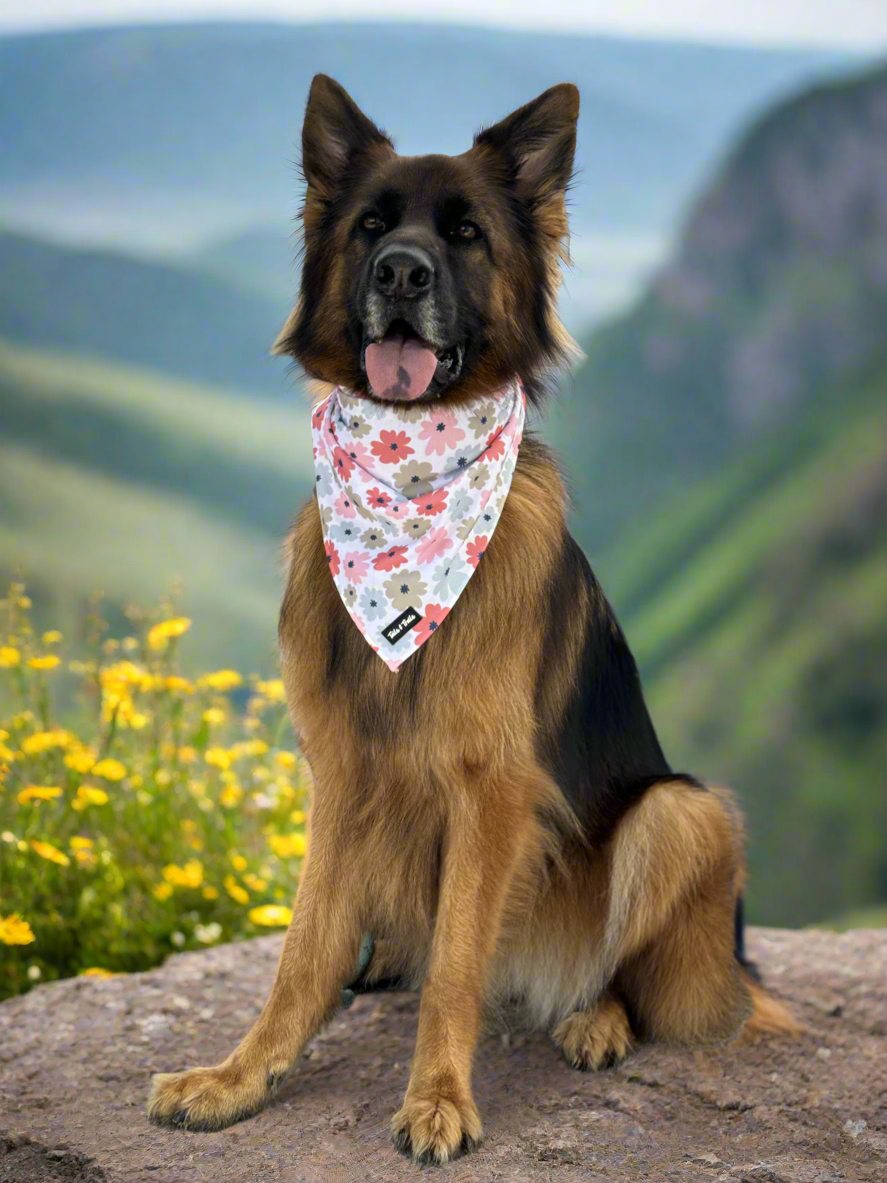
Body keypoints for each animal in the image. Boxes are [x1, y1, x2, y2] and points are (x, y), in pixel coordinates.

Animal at [147, 73, 799, 1164]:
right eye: (371, 226)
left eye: (463, 234)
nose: (400, 272)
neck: (408, 485)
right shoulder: (342, 773)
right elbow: (301, 950)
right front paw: (243, 1075)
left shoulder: (490, 791)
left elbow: (454, 964)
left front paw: (439, 1097)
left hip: (683, 811)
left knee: (626, 967)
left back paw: (594, 1017)